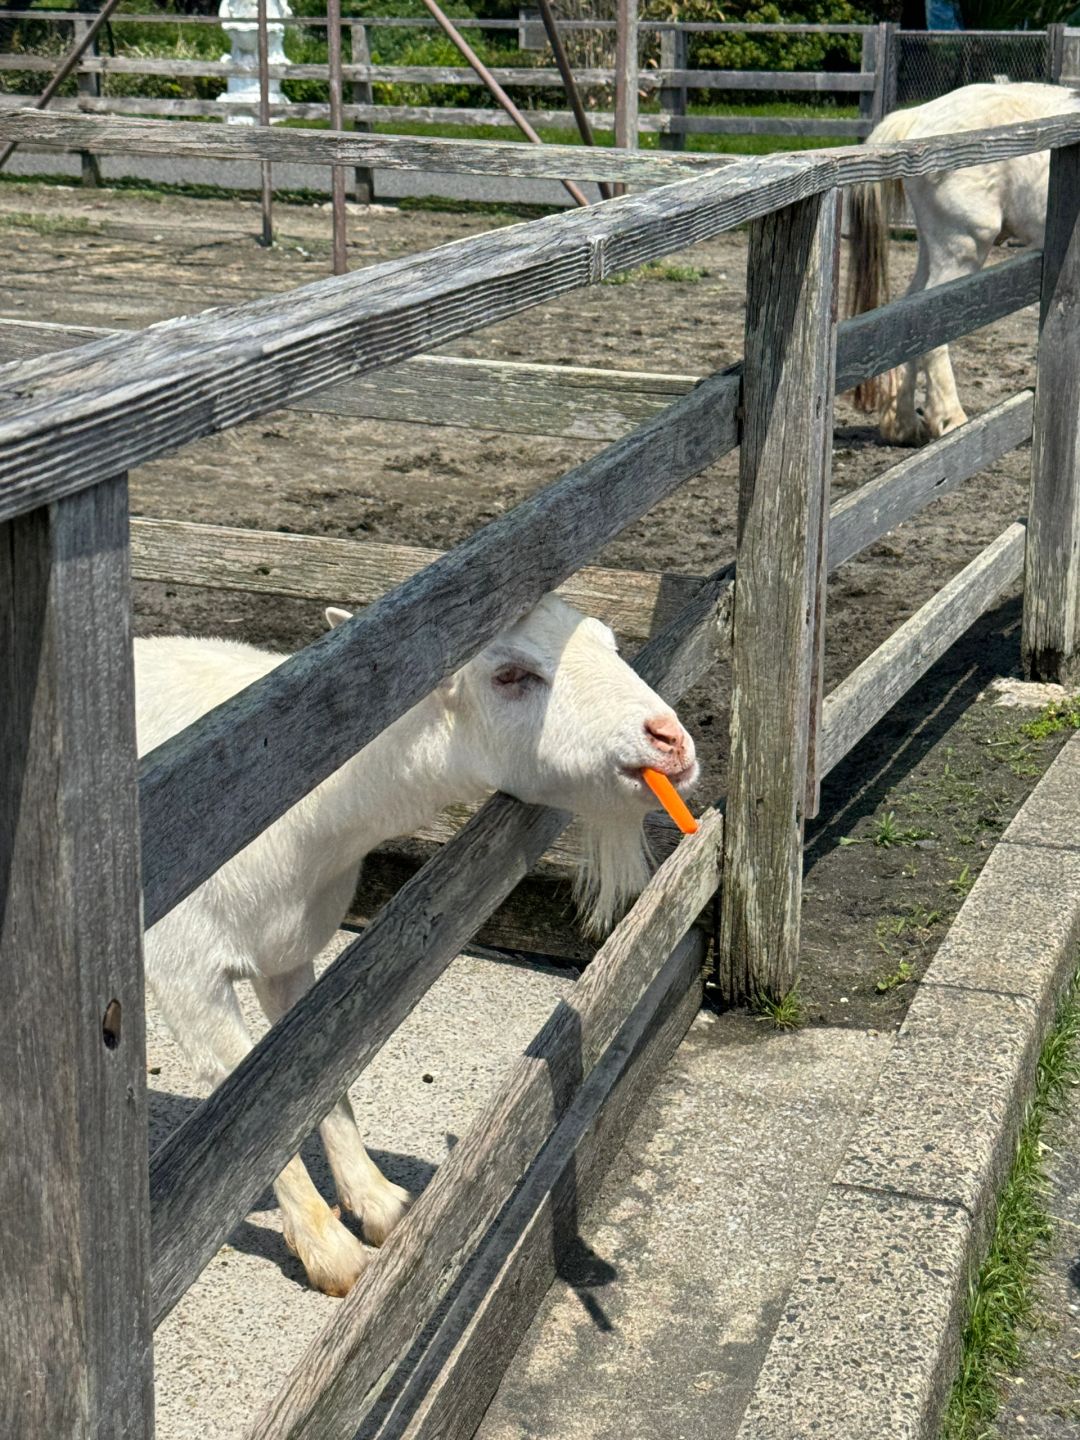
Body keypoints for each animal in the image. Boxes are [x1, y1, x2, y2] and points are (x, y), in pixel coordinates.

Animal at [137, 593, 702, 1296]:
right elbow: (243, 1129)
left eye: (609, 641)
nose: (670, 741)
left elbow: (314, 1085)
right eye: (510, 675)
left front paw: (383, 1207)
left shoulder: (287, 951)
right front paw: (334, 1257)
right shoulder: (185, 972)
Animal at [852, 82, 1077, 443]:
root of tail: (918, 115)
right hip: (963, 244)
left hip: (934, 248)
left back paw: (902, 424)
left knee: (911, 311)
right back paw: (949, 419)